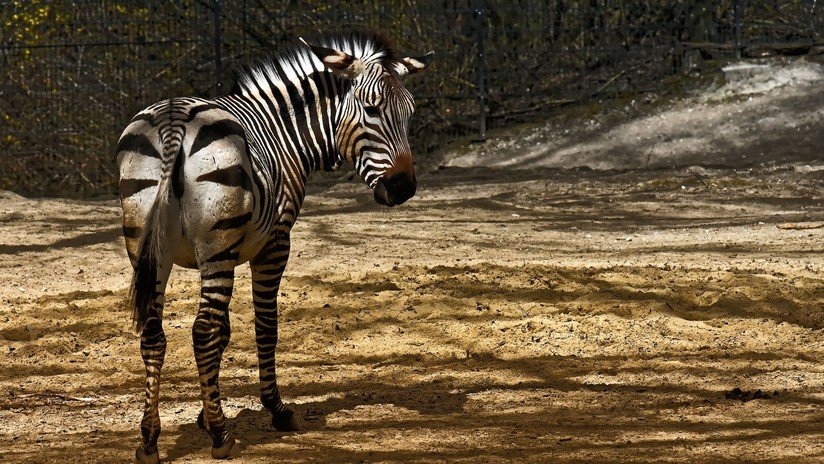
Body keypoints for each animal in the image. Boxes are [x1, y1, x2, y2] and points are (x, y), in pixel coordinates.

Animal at [118, 30, 434, 462]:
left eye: (409, 113)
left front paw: (205, 413)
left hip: (147, 246)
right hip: (215, 245)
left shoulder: (222, 252)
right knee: (201, 331)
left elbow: (225, 332)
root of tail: (173, 119)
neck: (284, 132)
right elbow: (264, 327)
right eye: (371, 110)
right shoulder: (273, 244)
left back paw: (149, 439)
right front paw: (273, 410)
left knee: (154, 336)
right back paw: (221, 438)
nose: (403, 189)